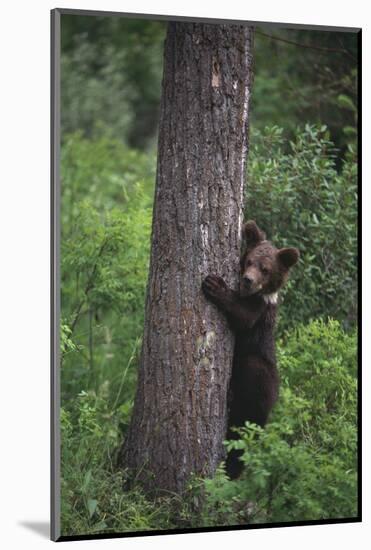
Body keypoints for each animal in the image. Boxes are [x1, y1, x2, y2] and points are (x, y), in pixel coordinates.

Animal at [202, 220, 300, 478]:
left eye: (265, 268)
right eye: (249, 261)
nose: (247, 280)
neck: (255, 294)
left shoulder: (258, 313)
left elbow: (241, 316)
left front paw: (214, 284)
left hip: (261, 374)